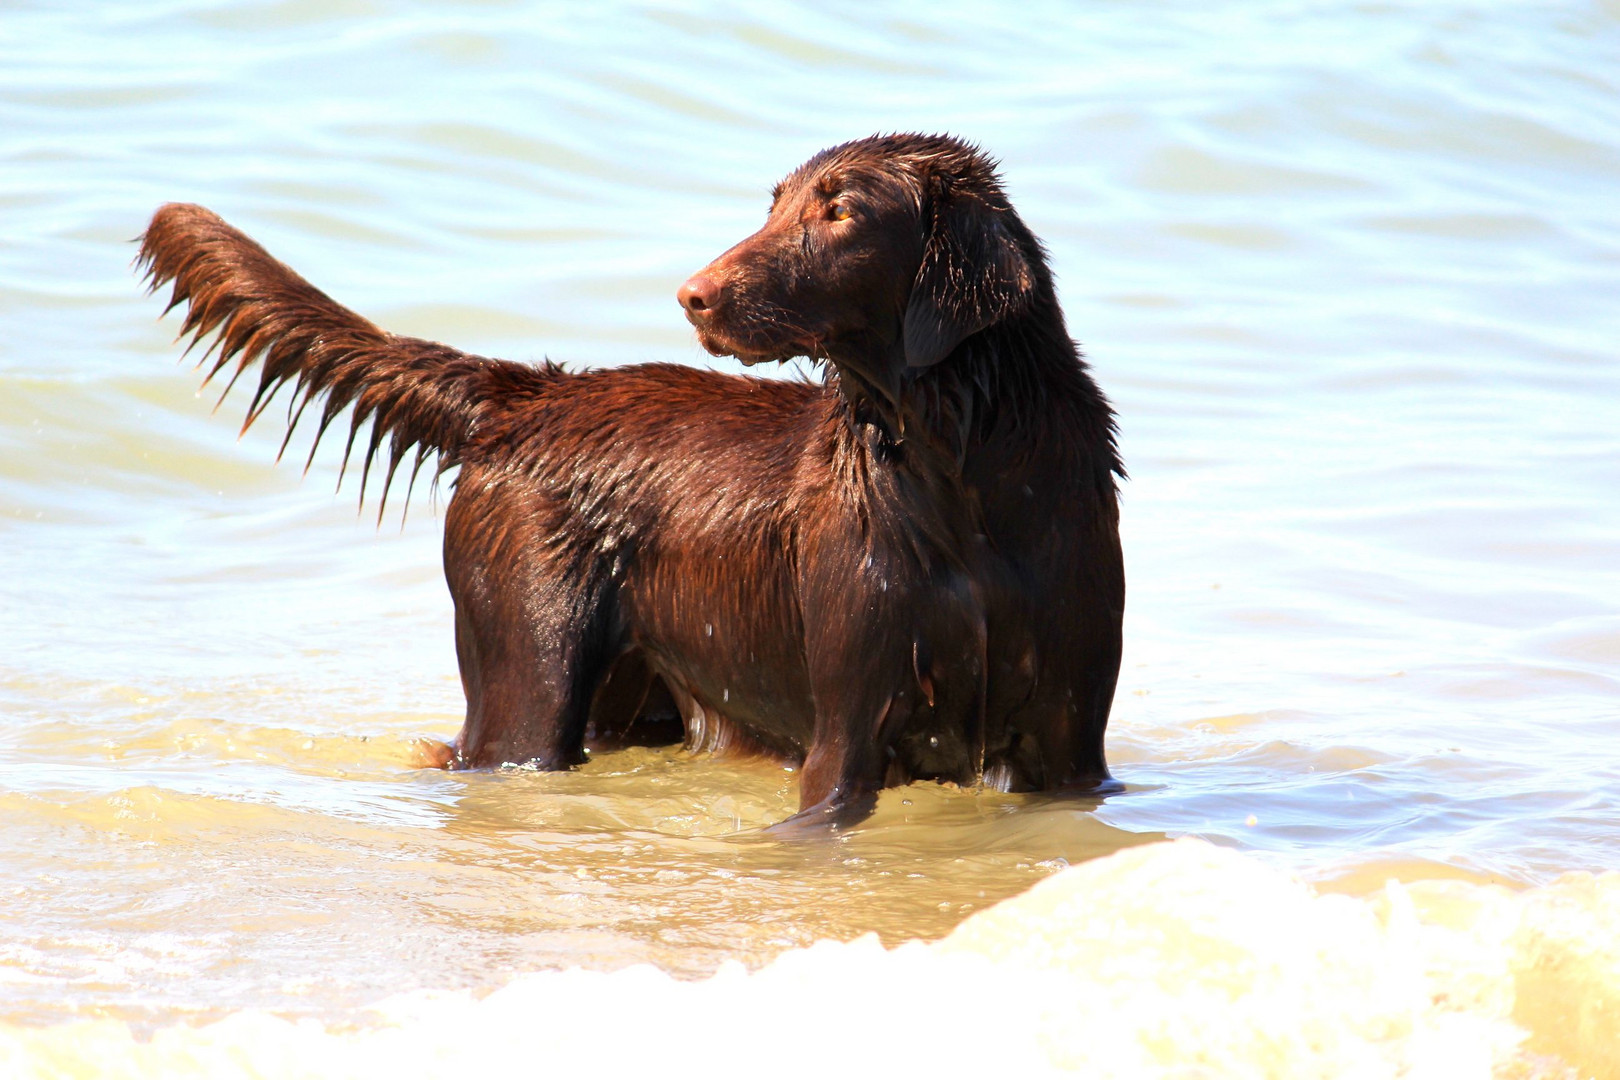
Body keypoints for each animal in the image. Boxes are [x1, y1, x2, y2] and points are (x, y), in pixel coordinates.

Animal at [139, 132, 1127, 829]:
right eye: (774, 206)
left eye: (840, 212)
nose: (693, 296)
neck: (959, 482)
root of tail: (527, 393)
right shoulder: (847, 726)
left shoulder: (1072, 738)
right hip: (527, 671)